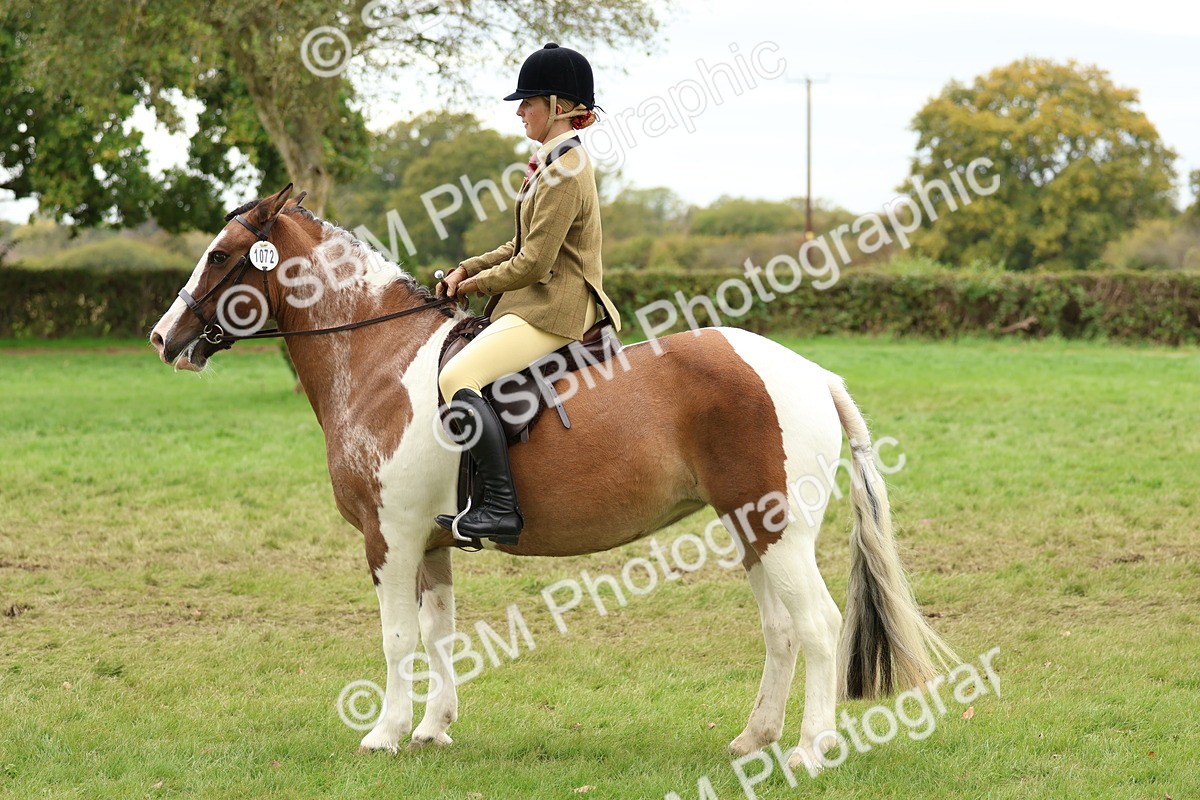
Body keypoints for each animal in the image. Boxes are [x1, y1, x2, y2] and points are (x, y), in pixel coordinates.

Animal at [149, 185, 956, 775]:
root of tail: (811, 374)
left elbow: (397, 637)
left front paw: (384, 734)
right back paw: (752, 740)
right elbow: (439, 633)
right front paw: (433, 730)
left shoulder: (392, 537)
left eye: (221, 255)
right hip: (750, 525)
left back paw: (810, 751)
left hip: (777, 528)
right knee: (782, 629)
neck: (380, 361)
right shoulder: (429, 542)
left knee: (816, 626)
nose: (163, 339)